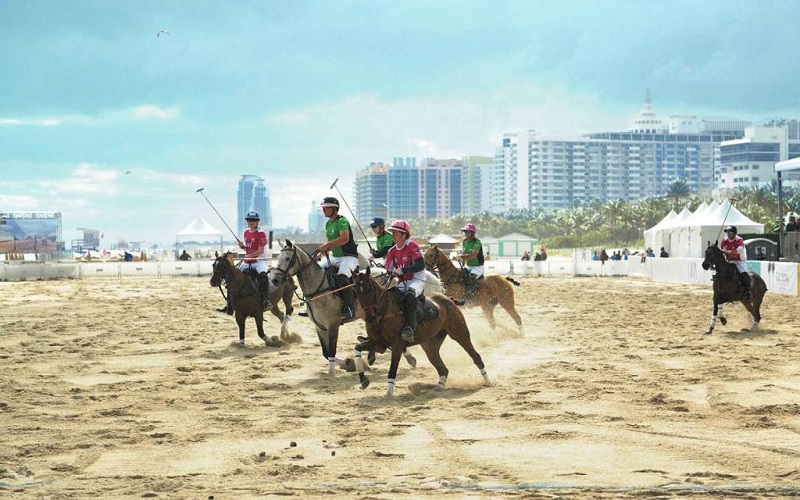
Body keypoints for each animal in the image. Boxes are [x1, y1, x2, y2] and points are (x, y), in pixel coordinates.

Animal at [354, 268, 490, 396]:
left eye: (369, 288)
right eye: (356, 291)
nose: (370, 318)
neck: (385, 312)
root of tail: (449, 299)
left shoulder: (397, 345)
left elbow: (392, 369)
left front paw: (389, 393)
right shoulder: (379, 344)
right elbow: (357, 348)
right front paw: (363, 380)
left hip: (459, 333)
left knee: (475, 356)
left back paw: (487, 381)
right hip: (429, 345)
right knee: (442, 369)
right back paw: (438, 388)